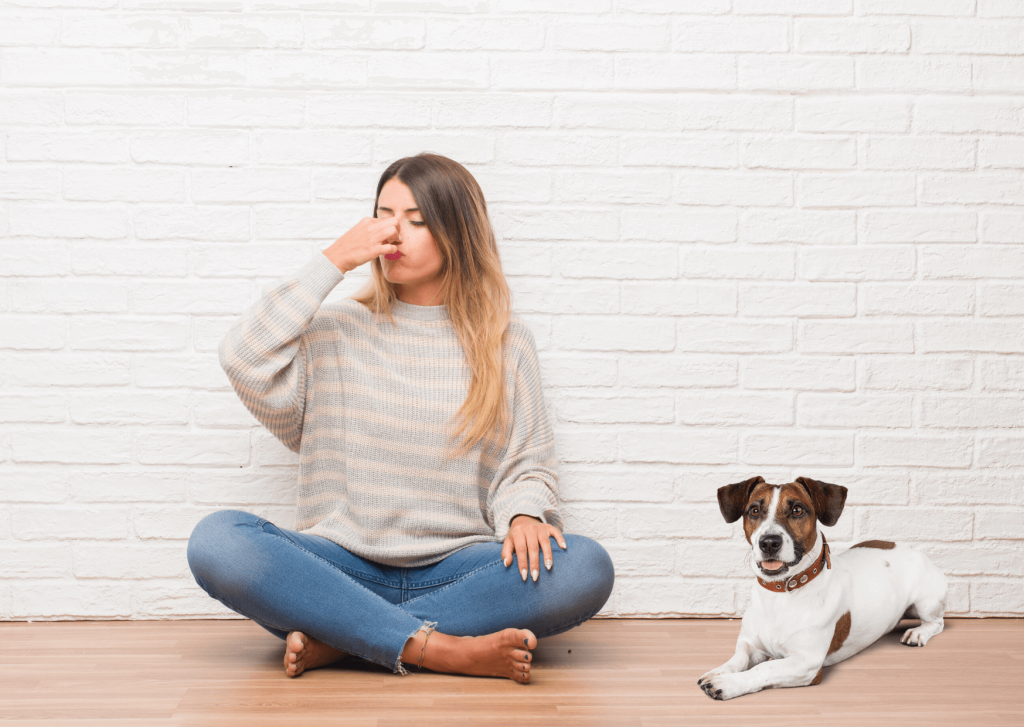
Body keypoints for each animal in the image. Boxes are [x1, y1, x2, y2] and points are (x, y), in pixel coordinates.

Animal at [700, 475, 946, 704]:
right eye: (754, 510)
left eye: (797, 510)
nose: (769, 542)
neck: (781, 594)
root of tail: (912, 549)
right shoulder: (751, 645)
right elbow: (738, 659)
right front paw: (719, 672)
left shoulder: (806, 663)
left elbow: (764, 668)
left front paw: (728, 683)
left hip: (926, 602)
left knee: (937, 623)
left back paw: (918, 633)